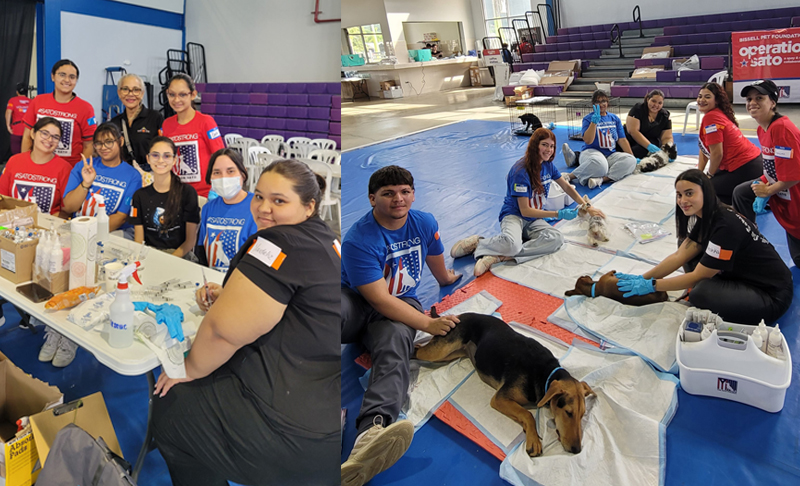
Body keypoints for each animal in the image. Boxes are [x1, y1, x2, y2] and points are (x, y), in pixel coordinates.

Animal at [412, 312, 592, 456]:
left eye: (582, 415)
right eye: (568, 412)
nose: (577, 450)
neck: (545, 373)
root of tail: (456, 315)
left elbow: (525, 414)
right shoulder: (499, 398)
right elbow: (528, 414)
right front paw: (533, 440)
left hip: (450, 354)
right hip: (439, 351)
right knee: (416, 350)